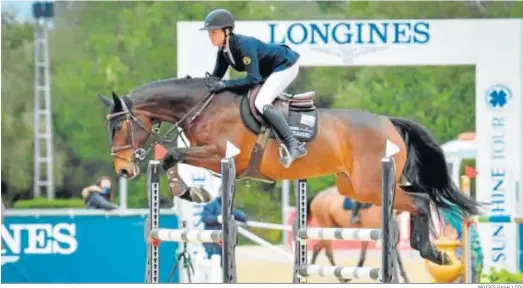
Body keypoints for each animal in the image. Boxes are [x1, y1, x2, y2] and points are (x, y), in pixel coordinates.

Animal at [99, 74, 484, 266]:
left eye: (118, 127)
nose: (123, 171)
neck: (202, 106)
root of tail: (388, 122)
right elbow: (171, 158)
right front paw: (189, 189)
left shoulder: (222, 156)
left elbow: (172, 155)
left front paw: (187, 190)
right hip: (353, 188)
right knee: (417, 198)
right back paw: (429, 249)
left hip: (370, 185)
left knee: (420, 201)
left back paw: (431, 251)